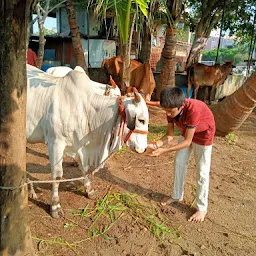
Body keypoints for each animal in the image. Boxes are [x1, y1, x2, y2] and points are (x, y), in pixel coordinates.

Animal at [26, 64, 148, 218]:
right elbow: (57, 175)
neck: (87, 108)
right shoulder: (56, 142)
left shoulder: (79, 145)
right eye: (141, 120)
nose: (144, 148)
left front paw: (89, 189)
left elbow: (83, 168)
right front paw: (55, 206)